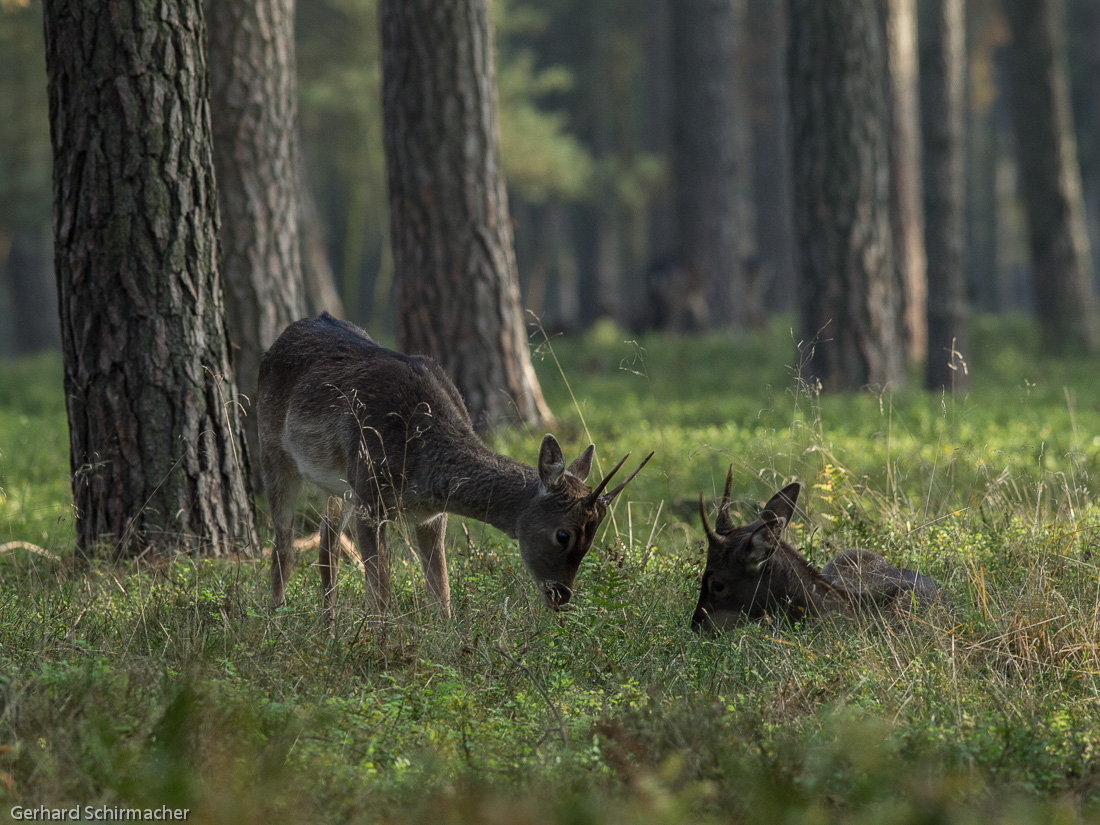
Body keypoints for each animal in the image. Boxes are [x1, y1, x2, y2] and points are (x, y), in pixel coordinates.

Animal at [257, 312, 651, 624]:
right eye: (563, 535)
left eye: (593, 538)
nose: (561, 596)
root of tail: (281, 336)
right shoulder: (370, 497)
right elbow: (381, 591)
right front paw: (378, 643)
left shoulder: (430, 515)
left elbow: (441, 588)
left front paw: (446, 637)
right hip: (273, 449)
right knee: (284, 544)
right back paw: (275, 621)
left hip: (337, 484)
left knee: (327, 550)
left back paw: (329, 628)